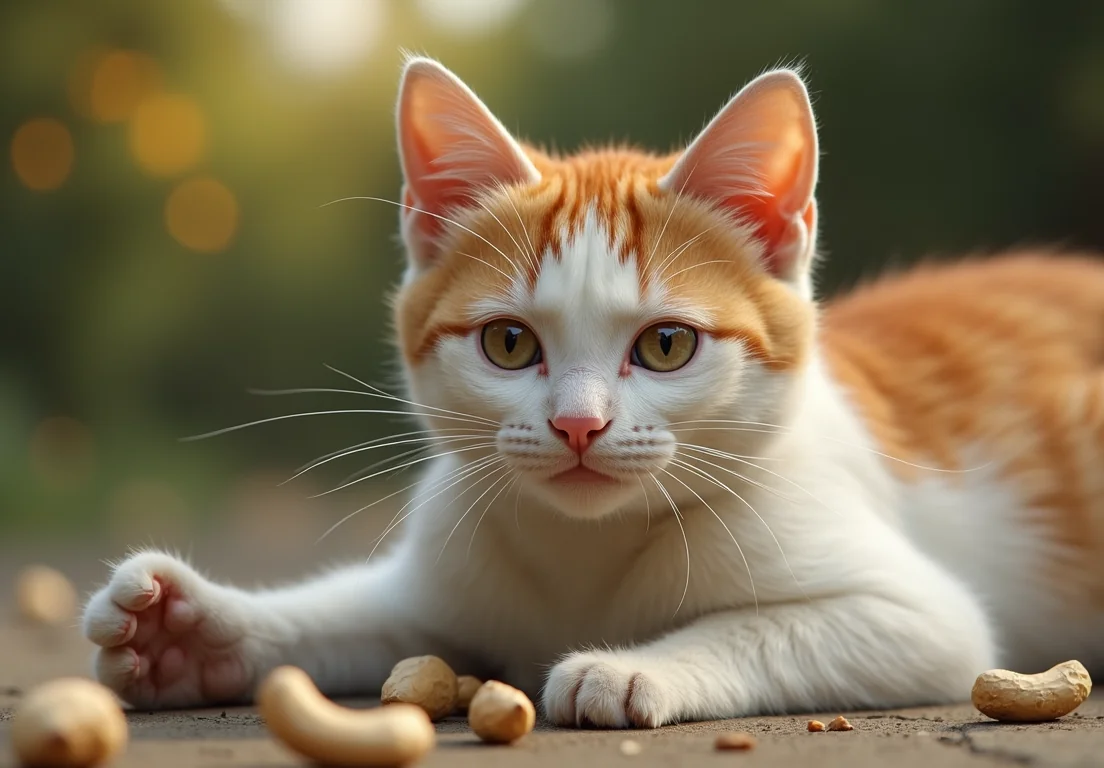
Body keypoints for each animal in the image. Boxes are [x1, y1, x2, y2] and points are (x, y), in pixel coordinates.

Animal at [81, 58, 1104, 723]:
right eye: (507, 343)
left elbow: (771, 628)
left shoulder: (924, 618)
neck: (586, 553)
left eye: (665, 345)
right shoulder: (449, 576)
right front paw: (195, 633)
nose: (578, 424)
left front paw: (633, 669)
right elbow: (354, 610)